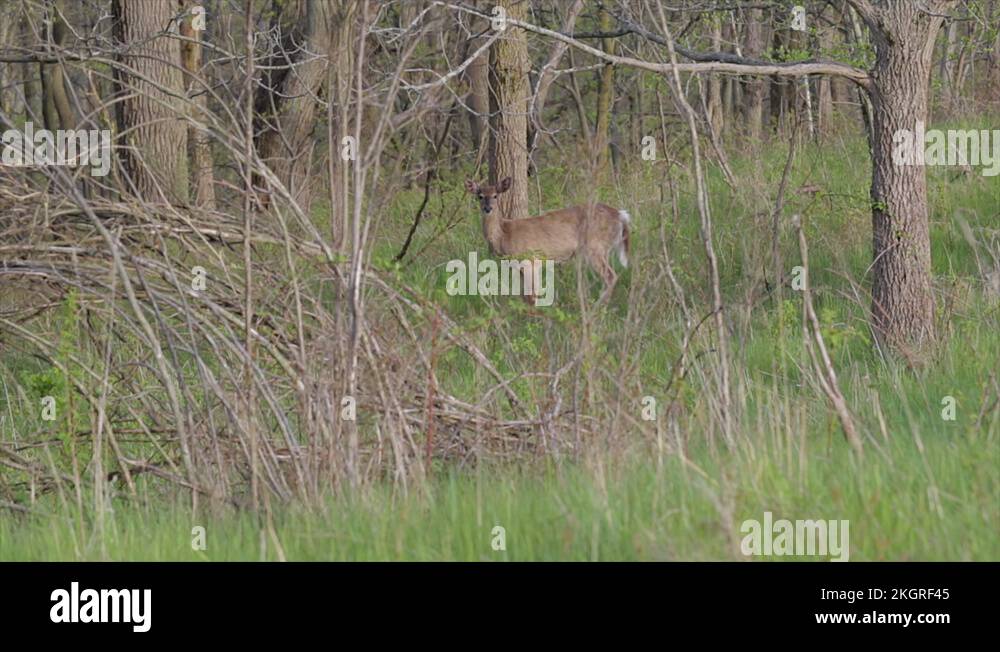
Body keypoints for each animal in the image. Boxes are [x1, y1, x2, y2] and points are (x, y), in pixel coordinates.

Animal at [464, 177, 630, 305]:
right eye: (479, 196)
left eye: (495, 195)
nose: (487, 208)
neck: (504, 235)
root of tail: (620, 215)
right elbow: (524, 295)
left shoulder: (531, 259)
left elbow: (532, 295)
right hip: (603, 249)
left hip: (594, 246)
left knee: (611, 276)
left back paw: (598, 308)